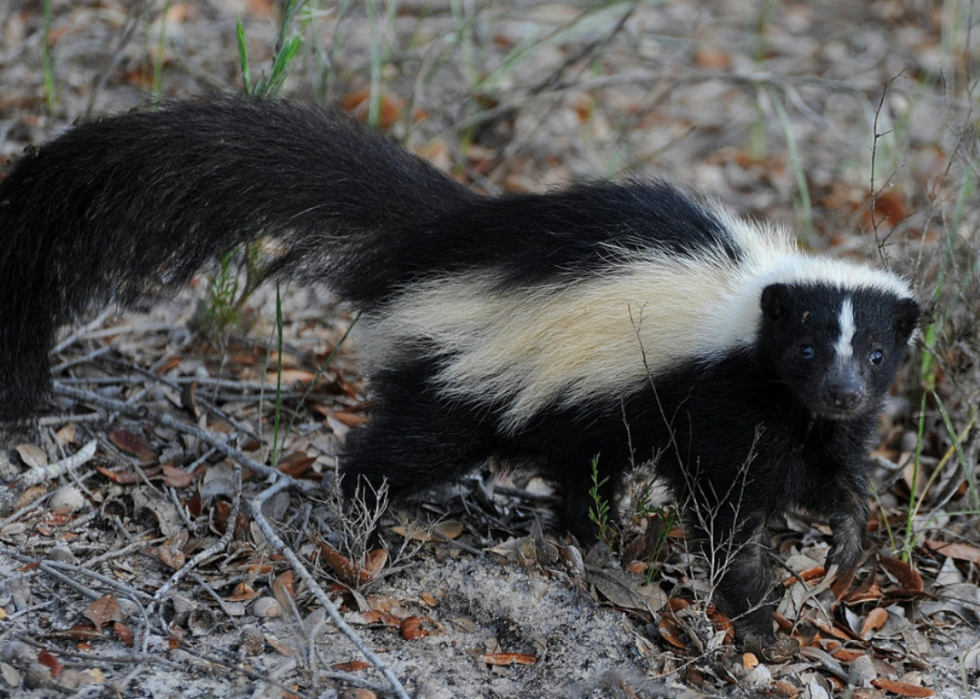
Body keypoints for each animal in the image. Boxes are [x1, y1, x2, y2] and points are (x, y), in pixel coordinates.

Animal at [0, 97, 920, 640]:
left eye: (876, 354)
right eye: (806, 347)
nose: (842, 389)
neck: (745, 306)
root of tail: (438, 243)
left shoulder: (815, 421)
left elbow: (838, 475)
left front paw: (845, 542)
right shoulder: (725, 397)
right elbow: (727, 511)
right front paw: (755, 614)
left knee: (579, 470)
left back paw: (591, 540)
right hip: (465, 372)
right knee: (401, 446)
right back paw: (359, 520)